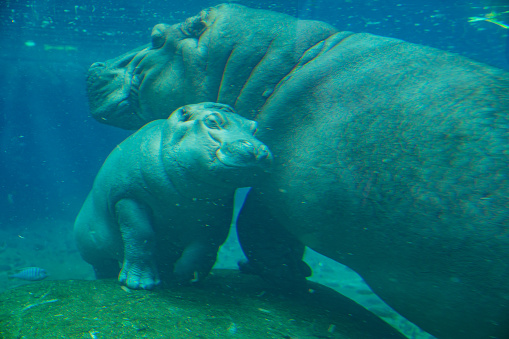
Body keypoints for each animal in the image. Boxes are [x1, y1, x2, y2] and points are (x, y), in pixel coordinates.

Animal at [74, 103, 272, 290]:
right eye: (212, 121)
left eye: (254, 127)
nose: (257, 150)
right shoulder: (128, 197)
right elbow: (141, 235)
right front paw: (139, 283)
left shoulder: (219, 211)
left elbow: (206, 245)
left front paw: (187, 277)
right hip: (94, 252)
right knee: (103, 265)